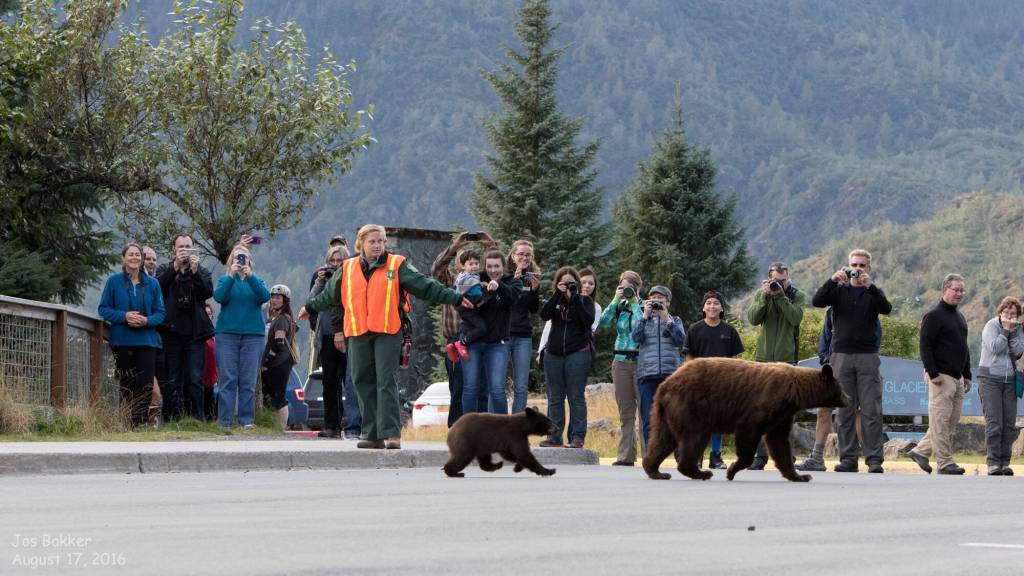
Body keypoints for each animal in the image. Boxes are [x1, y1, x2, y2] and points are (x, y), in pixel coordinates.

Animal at [642, 357, 848, 482]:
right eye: (840, 388)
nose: (849, 398)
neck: (793, 393)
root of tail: (665, 384)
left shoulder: (782, 415)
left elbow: (779, 443)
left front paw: (800, 475)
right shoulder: (764, 404)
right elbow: (748, 432)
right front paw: (732, 470)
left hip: (664, 413)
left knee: (662, 440)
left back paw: (656, 471)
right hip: (690, 407)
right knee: (694, 438)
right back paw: (701, 472)